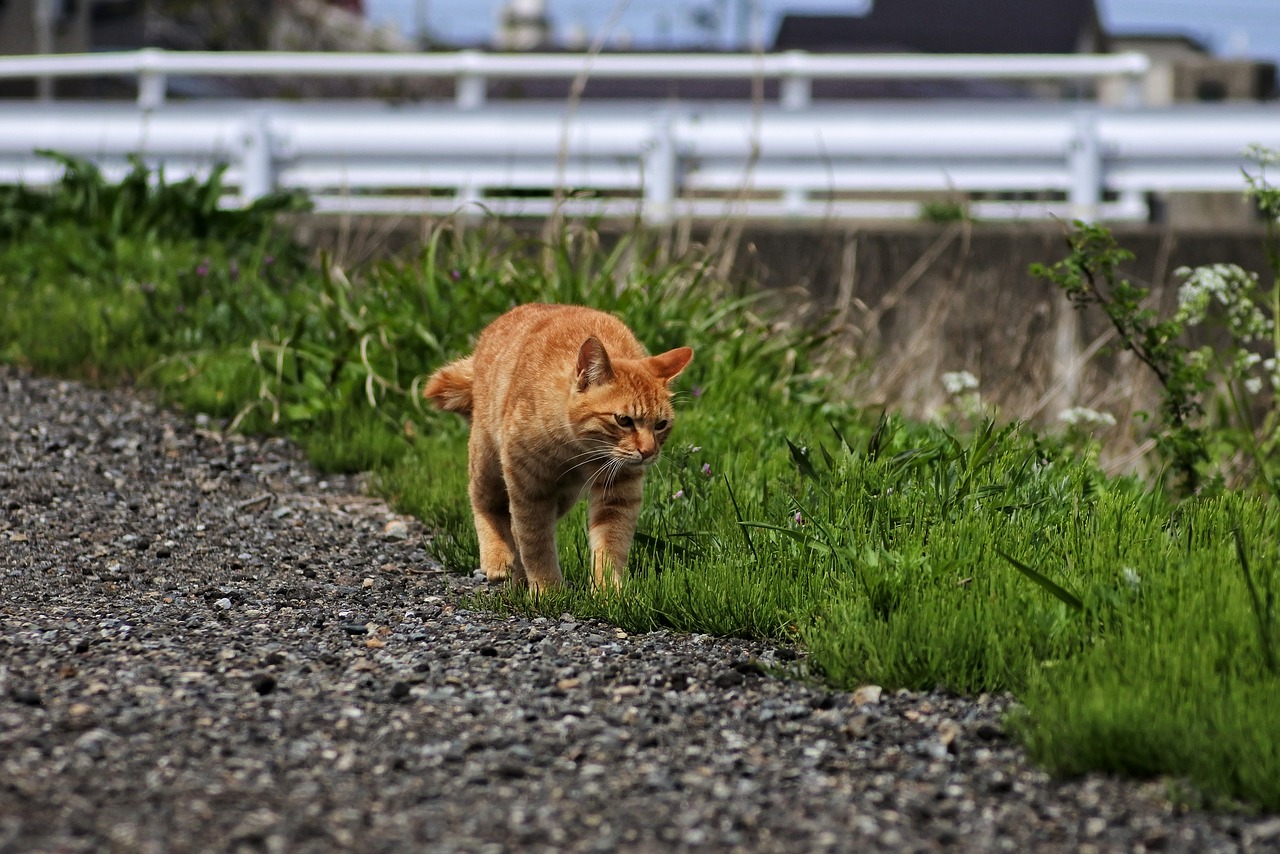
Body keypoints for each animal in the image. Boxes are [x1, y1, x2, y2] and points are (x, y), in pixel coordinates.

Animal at [424, 306, 691, 594]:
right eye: (624, 420)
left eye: (661, 425)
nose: (649, 452)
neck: (578, 450)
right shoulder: (529, 487)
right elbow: (535, 542)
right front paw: (547, 589)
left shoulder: (619, 491)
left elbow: (611, 544)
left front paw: (608, 591)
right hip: (487, 460)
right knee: (486, 503)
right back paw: (498, 558)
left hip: (563, 497)